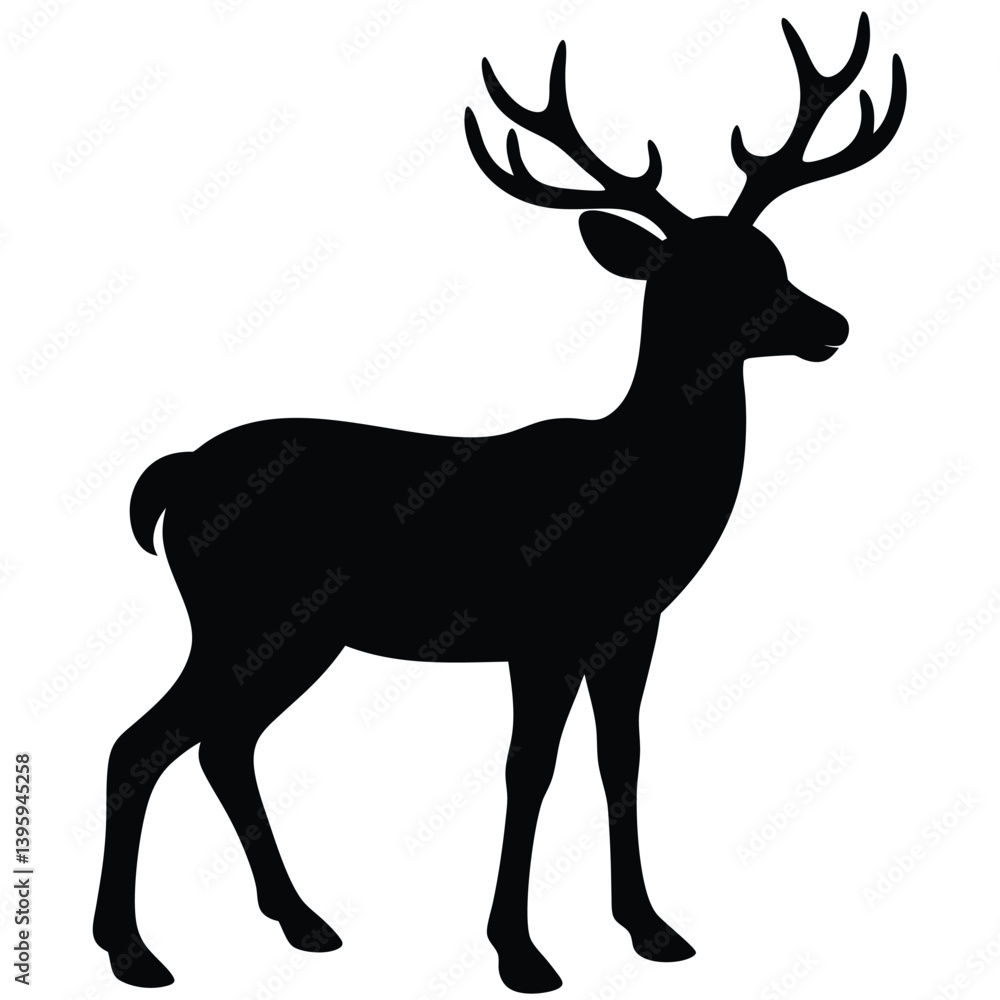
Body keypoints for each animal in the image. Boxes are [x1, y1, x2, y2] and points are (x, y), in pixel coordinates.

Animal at [93, 14, 905, 994]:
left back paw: (300, 922)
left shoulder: (631, 629)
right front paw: (520, 952)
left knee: (220, 745)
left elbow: (621, 761)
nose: (832, 324)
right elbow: (530, 770)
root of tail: (172, 478)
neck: (638, 491)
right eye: (702, 278)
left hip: (290, 633)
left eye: (774, 258)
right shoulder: (543, 631)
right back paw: (134, 950)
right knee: (145, 741)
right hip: (245, 614)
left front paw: (652, 929)